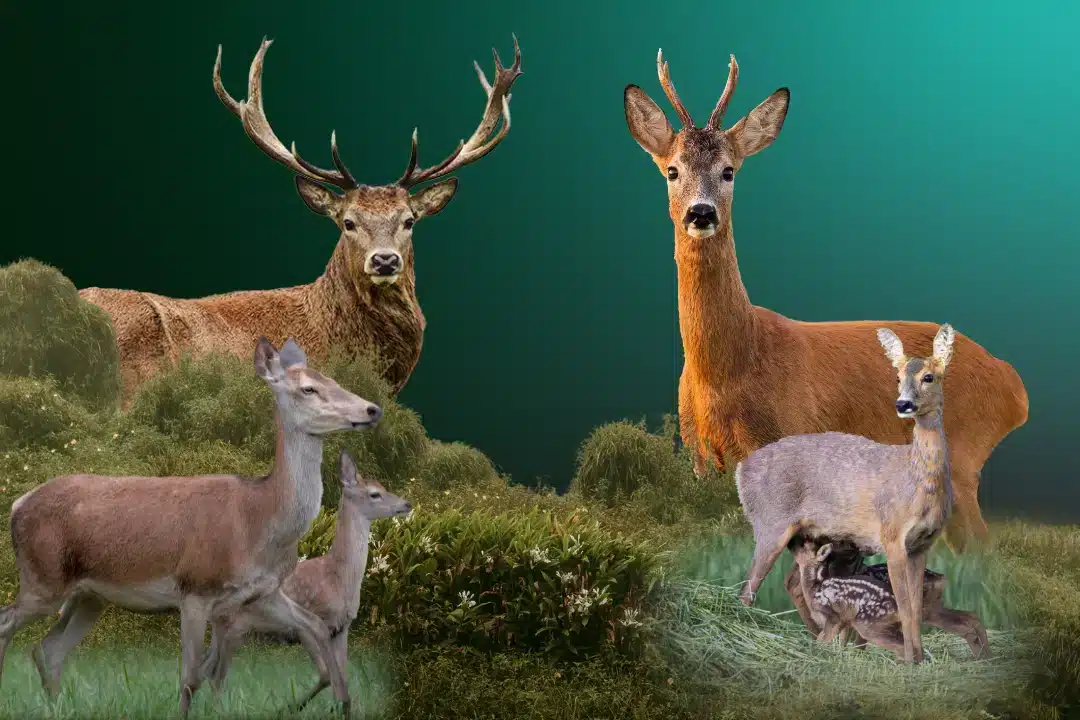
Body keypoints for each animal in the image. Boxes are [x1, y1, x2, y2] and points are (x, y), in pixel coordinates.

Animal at [1, 337, 378, 716]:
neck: (258, 521)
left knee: (48, 649)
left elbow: (317, 628)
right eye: (308, 388)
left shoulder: (265, 592)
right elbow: (191, 678)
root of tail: (18, 504)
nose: (373, 409)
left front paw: (344, 703)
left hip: (90, 595)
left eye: (333, 379)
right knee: (8, 623)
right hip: (43, 577)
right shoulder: (195, 587)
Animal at [197, 449, 412, 709]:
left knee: (206, 669)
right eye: (374, 493)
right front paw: (290, 707)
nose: (407, 504)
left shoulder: (342, 628)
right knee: (215, 675)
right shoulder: (306, 626)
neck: (337, 577)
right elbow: (327, 675)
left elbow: (342, 681)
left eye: (382, 486)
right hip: (233, 626)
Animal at [622, 50, 1028, 554]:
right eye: (672, 170)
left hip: (966, 453)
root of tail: (1015, 386)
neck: (727, 372)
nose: (701, 212)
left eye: (729, 170)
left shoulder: (789, 435)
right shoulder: (699, 458)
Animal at [734, 323, 958, 663]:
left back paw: (820, 638)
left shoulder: (922, 545)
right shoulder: (892, 536)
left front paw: (918, 659)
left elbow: (917, 609)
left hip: (814, 535)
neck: (916, 484)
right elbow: (906, 608)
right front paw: (909, 661)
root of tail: (740, 470)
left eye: (929, 377)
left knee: (794, 580)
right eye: (897, 377)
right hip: (770, 522)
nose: (903, 405)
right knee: (748, 588)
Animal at [791, 538, 991, 660]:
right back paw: (985, 656)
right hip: (934, 607)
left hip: (925, 610)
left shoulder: (839, 618)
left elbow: (837, 640)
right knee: (970, 617)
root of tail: (940, 578)